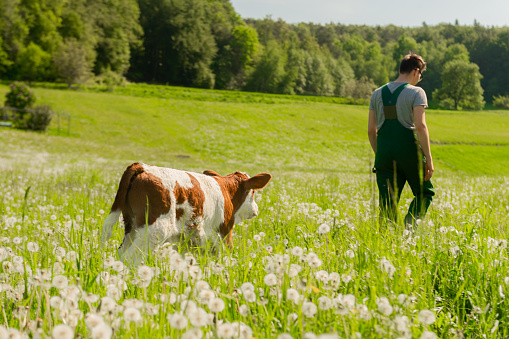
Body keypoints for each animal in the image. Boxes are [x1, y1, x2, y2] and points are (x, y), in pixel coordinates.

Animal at [98, 163, 270, 266]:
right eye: (253, 192)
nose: (256, 210)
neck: (226, 190)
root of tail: (142, 167)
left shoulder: (186, 241)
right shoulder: (224, 233)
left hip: (132, 227)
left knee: (121, 252)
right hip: (154, 230)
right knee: (131, 257)